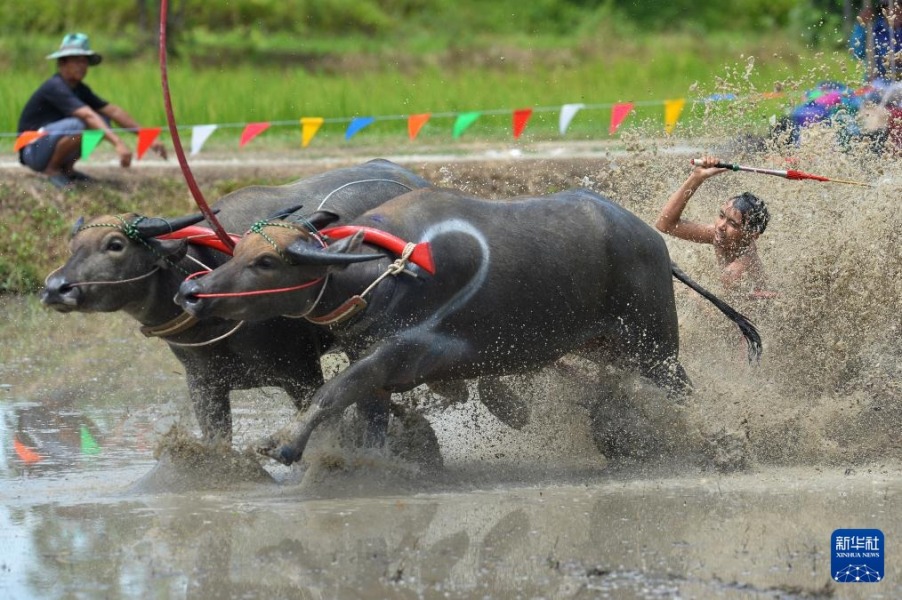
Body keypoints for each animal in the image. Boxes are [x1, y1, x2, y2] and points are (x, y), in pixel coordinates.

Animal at [177, 185, 764, 466]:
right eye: (237, 252)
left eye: (266, 262)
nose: (192, 292)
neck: (383, 269)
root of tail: (655, 245)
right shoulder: (375, 366)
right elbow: (364, 410)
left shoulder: (405, 352)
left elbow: (332, 391)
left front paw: (283, 444)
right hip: (604, 346)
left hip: (654, 345)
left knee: (682, 390)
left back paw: (725, 444)